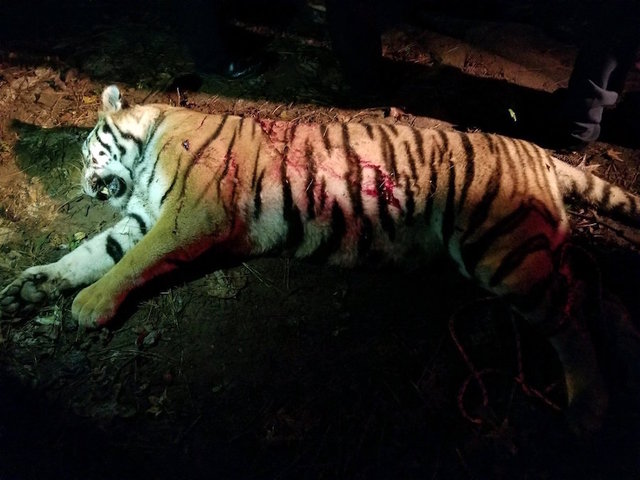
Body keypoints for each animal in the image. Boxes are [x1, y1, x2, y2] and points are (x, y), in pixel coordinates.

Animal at [1, 85, 639, 433]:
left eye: (92, 153)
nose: (88, 188)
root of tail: (537, 151)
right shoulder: (140, 218)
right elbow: (92, 253)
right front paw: (30, 287)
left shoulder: (187, 214)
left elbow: (129, 264)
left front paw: (89, 305)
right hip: (529, 244)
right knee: (593, 290)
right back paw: (623, 352)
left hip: (500, 247)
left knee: (570, 316)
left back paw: (589, 409)